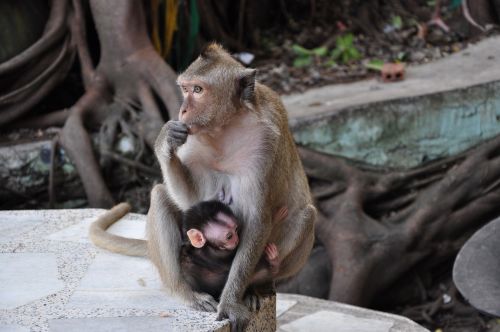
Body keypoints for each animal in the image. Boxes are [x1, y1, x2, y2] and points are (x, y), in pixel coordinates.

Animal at [92, 43, 314, 330]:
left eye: (198, 90)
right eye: (185, 89)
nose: (182, 111)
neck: (226, 126)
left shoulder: (264, 143)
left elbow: (257, 218)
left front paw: (230, 301)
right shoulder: (194, 141)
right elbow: (195, 201)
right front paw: (164, 141)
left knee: (306, 215)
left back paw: (257, 284)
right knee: (160, 195)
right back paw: (183, 291)